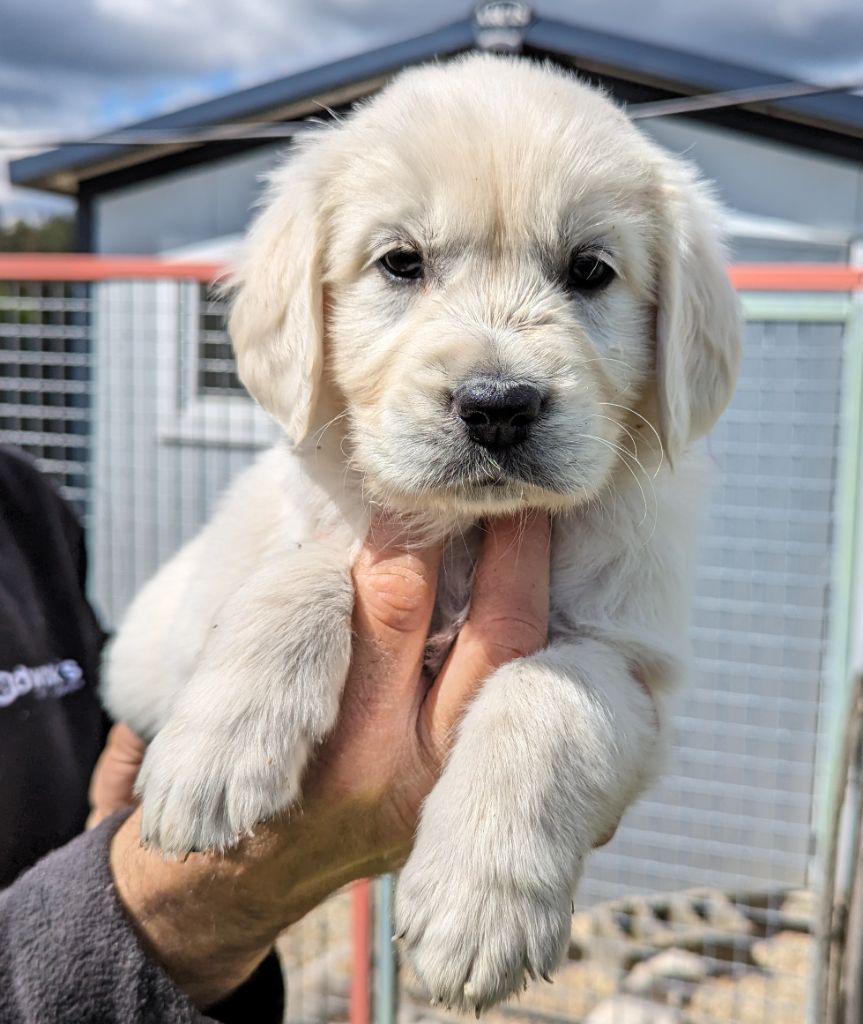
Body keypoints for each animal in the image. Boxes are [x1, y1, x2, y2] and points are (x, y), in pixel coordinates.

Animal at [102, 53, 741, 1011]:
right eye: (401, 263)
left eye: (589, 270)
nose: (498, 405)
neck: (470, 534)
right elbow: (302, 574)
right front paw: (213, 755)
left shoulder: (636, 668)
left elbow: (547, 692)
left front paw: (479, 908)